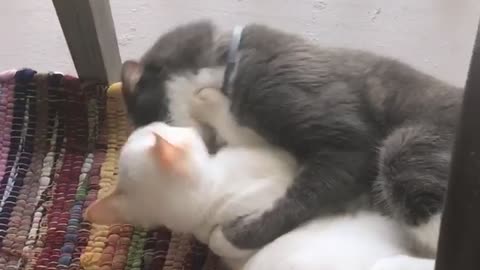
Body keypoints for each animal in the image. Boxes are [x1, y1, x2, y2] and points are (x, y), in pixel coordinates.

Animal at [119, 20, 462, 254]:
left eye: (157, 123)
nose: (204, 145)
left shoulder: (346, 143)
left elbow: (301, 197)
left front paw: (231, 237)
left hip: (403, 147)